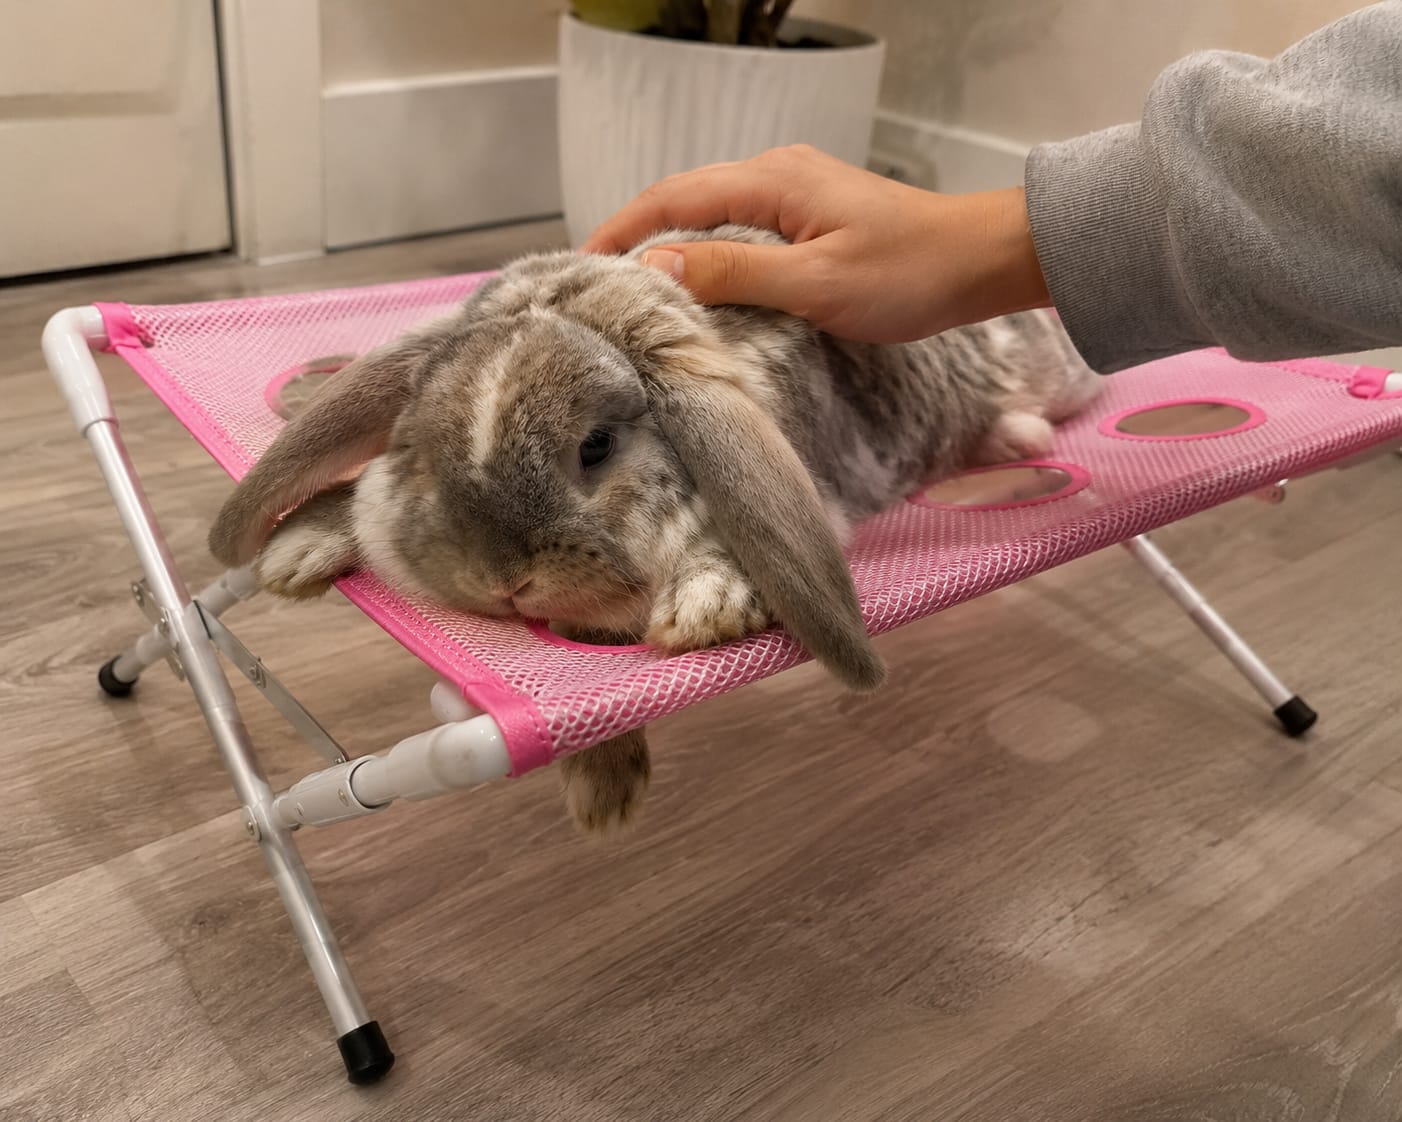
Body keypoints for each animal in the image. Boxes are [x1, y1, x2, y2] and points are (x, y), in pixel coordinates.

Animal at [208, 225, 1101, 832]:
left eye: (596, 446)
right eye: (419, 446)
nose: (501, 580)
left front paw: (704, 611)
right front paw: (299, 549)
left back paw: (1021, 434)